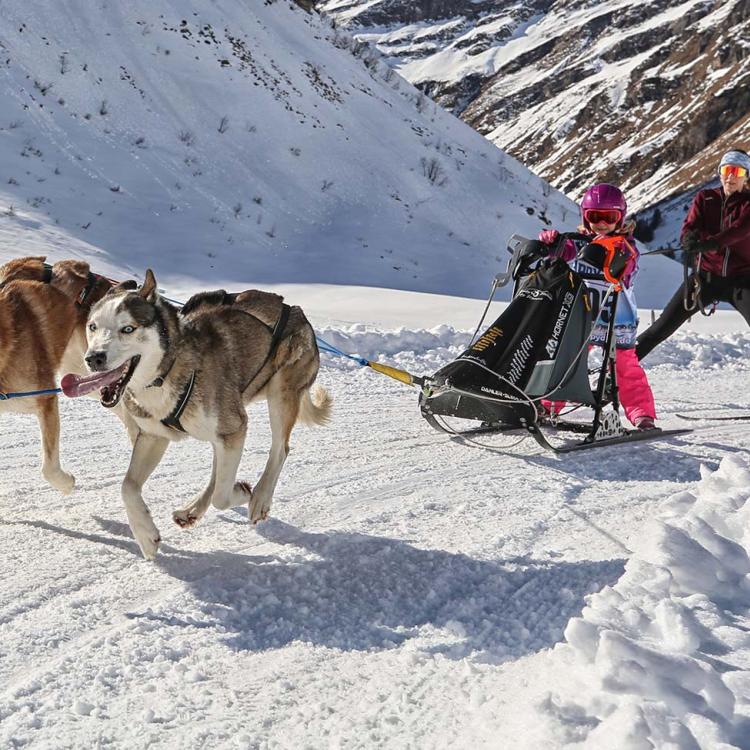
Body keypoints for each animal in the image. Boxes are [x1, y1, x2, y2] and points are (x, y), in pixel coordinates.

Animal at [64, 270, 332, 560]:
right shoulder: (153, 437)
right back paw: (192, 510)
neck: (166, 372)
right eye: (93, 327)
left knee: (279, 450)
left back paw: (259, 498)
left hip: (279, 396)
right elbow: (128, 487)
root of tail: (295, 310)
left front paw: (241, 493)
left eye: (128, 329)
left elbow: (222, 497)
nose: (94, 358)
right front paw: (146, 535)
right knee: (219, 469)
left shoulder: (234, 428)